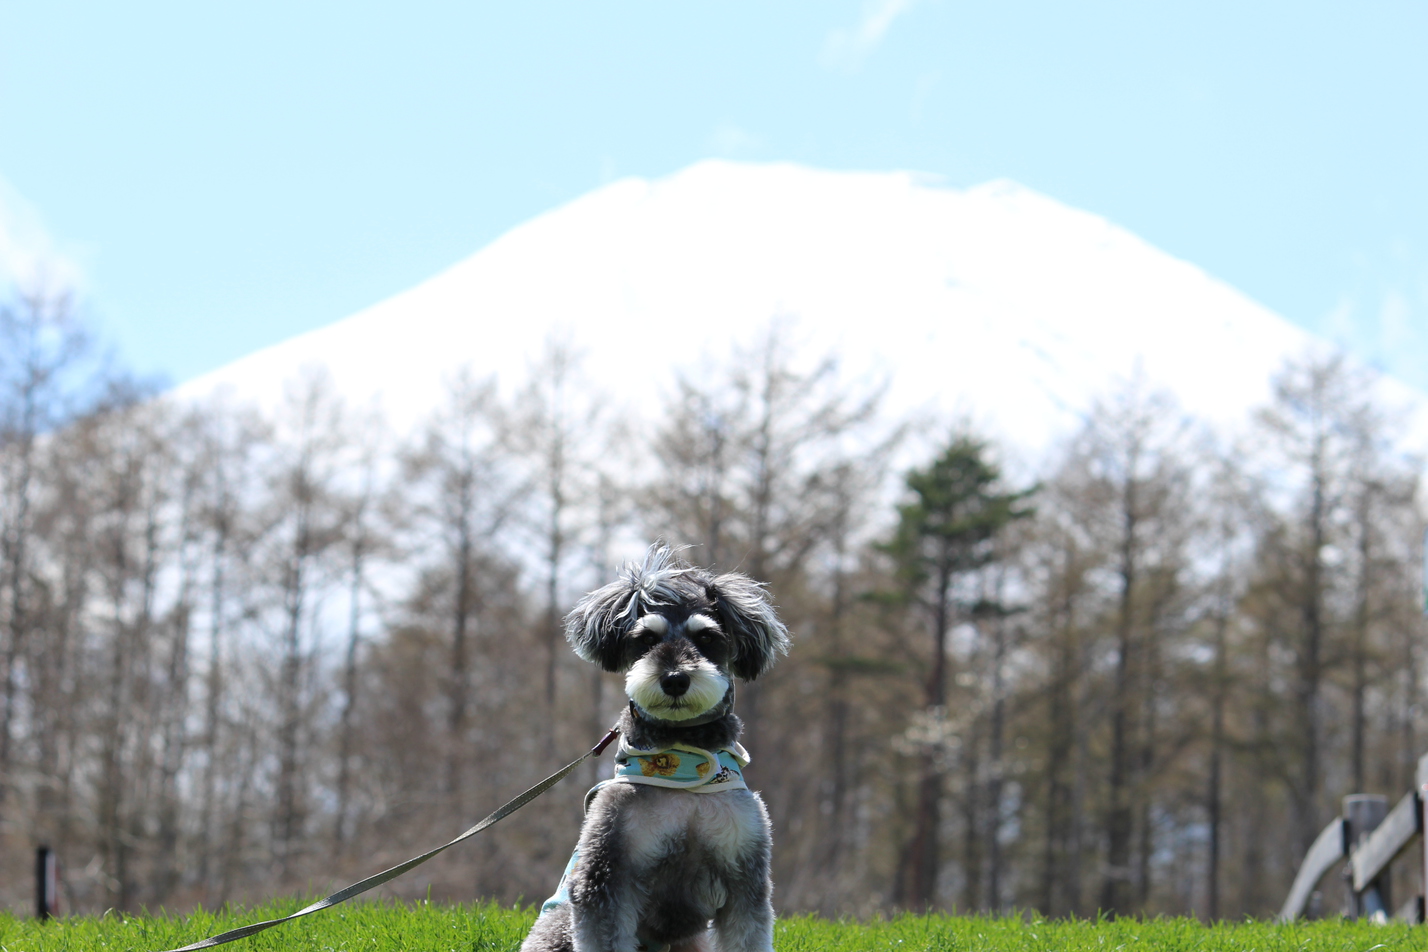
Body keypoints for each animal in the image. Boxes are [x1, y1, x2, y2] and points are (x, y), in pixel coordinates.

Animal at [522, 542, 793, 952]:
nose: (675, 679)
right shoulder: (607, 877)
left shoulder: (744, 880)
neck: (683, 759)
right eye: (647, 640)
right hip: (558, 926)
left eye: (707, 638)